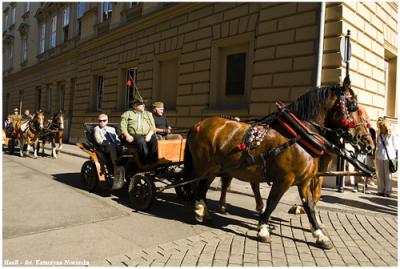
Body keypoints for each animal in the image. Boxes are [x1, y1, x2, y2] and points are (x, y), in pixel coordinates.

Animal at [184, 85, 360, 248]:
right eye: (353, 106)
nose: (357, 136)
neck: (300, 136)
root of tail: (198, 124)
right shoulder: (284, 179)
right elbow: (272, 203)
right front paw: (263, 229)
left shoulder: (303, 181)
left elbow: (309, 206)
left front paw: (319, 235)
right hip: (203, 166)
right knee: (195, 184)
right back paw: (199, 209)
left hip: (215, 169)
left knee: (203, 187)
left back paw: (204, 212)